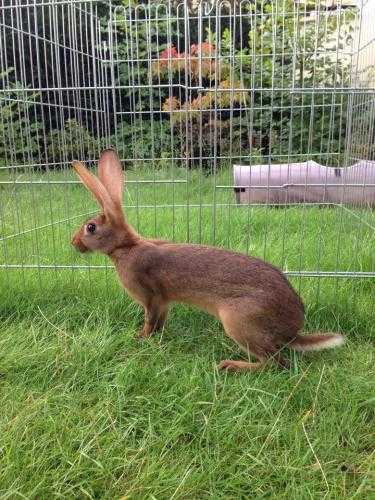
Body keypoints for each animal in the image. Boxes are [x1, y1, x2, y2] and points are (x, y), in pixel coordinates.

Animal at [71, 148, 346, 372]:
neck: (125, 247)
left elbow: (149, 321)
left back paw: (231, 366)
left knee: (276, 363)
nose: (74, 243)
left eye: (90, 228)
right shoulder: (163, 301)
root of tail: (291, 332)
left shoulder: (150, 297)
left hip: (238, 321)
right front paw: (151, 338)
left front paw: (140, 338)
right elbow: (160, 322)